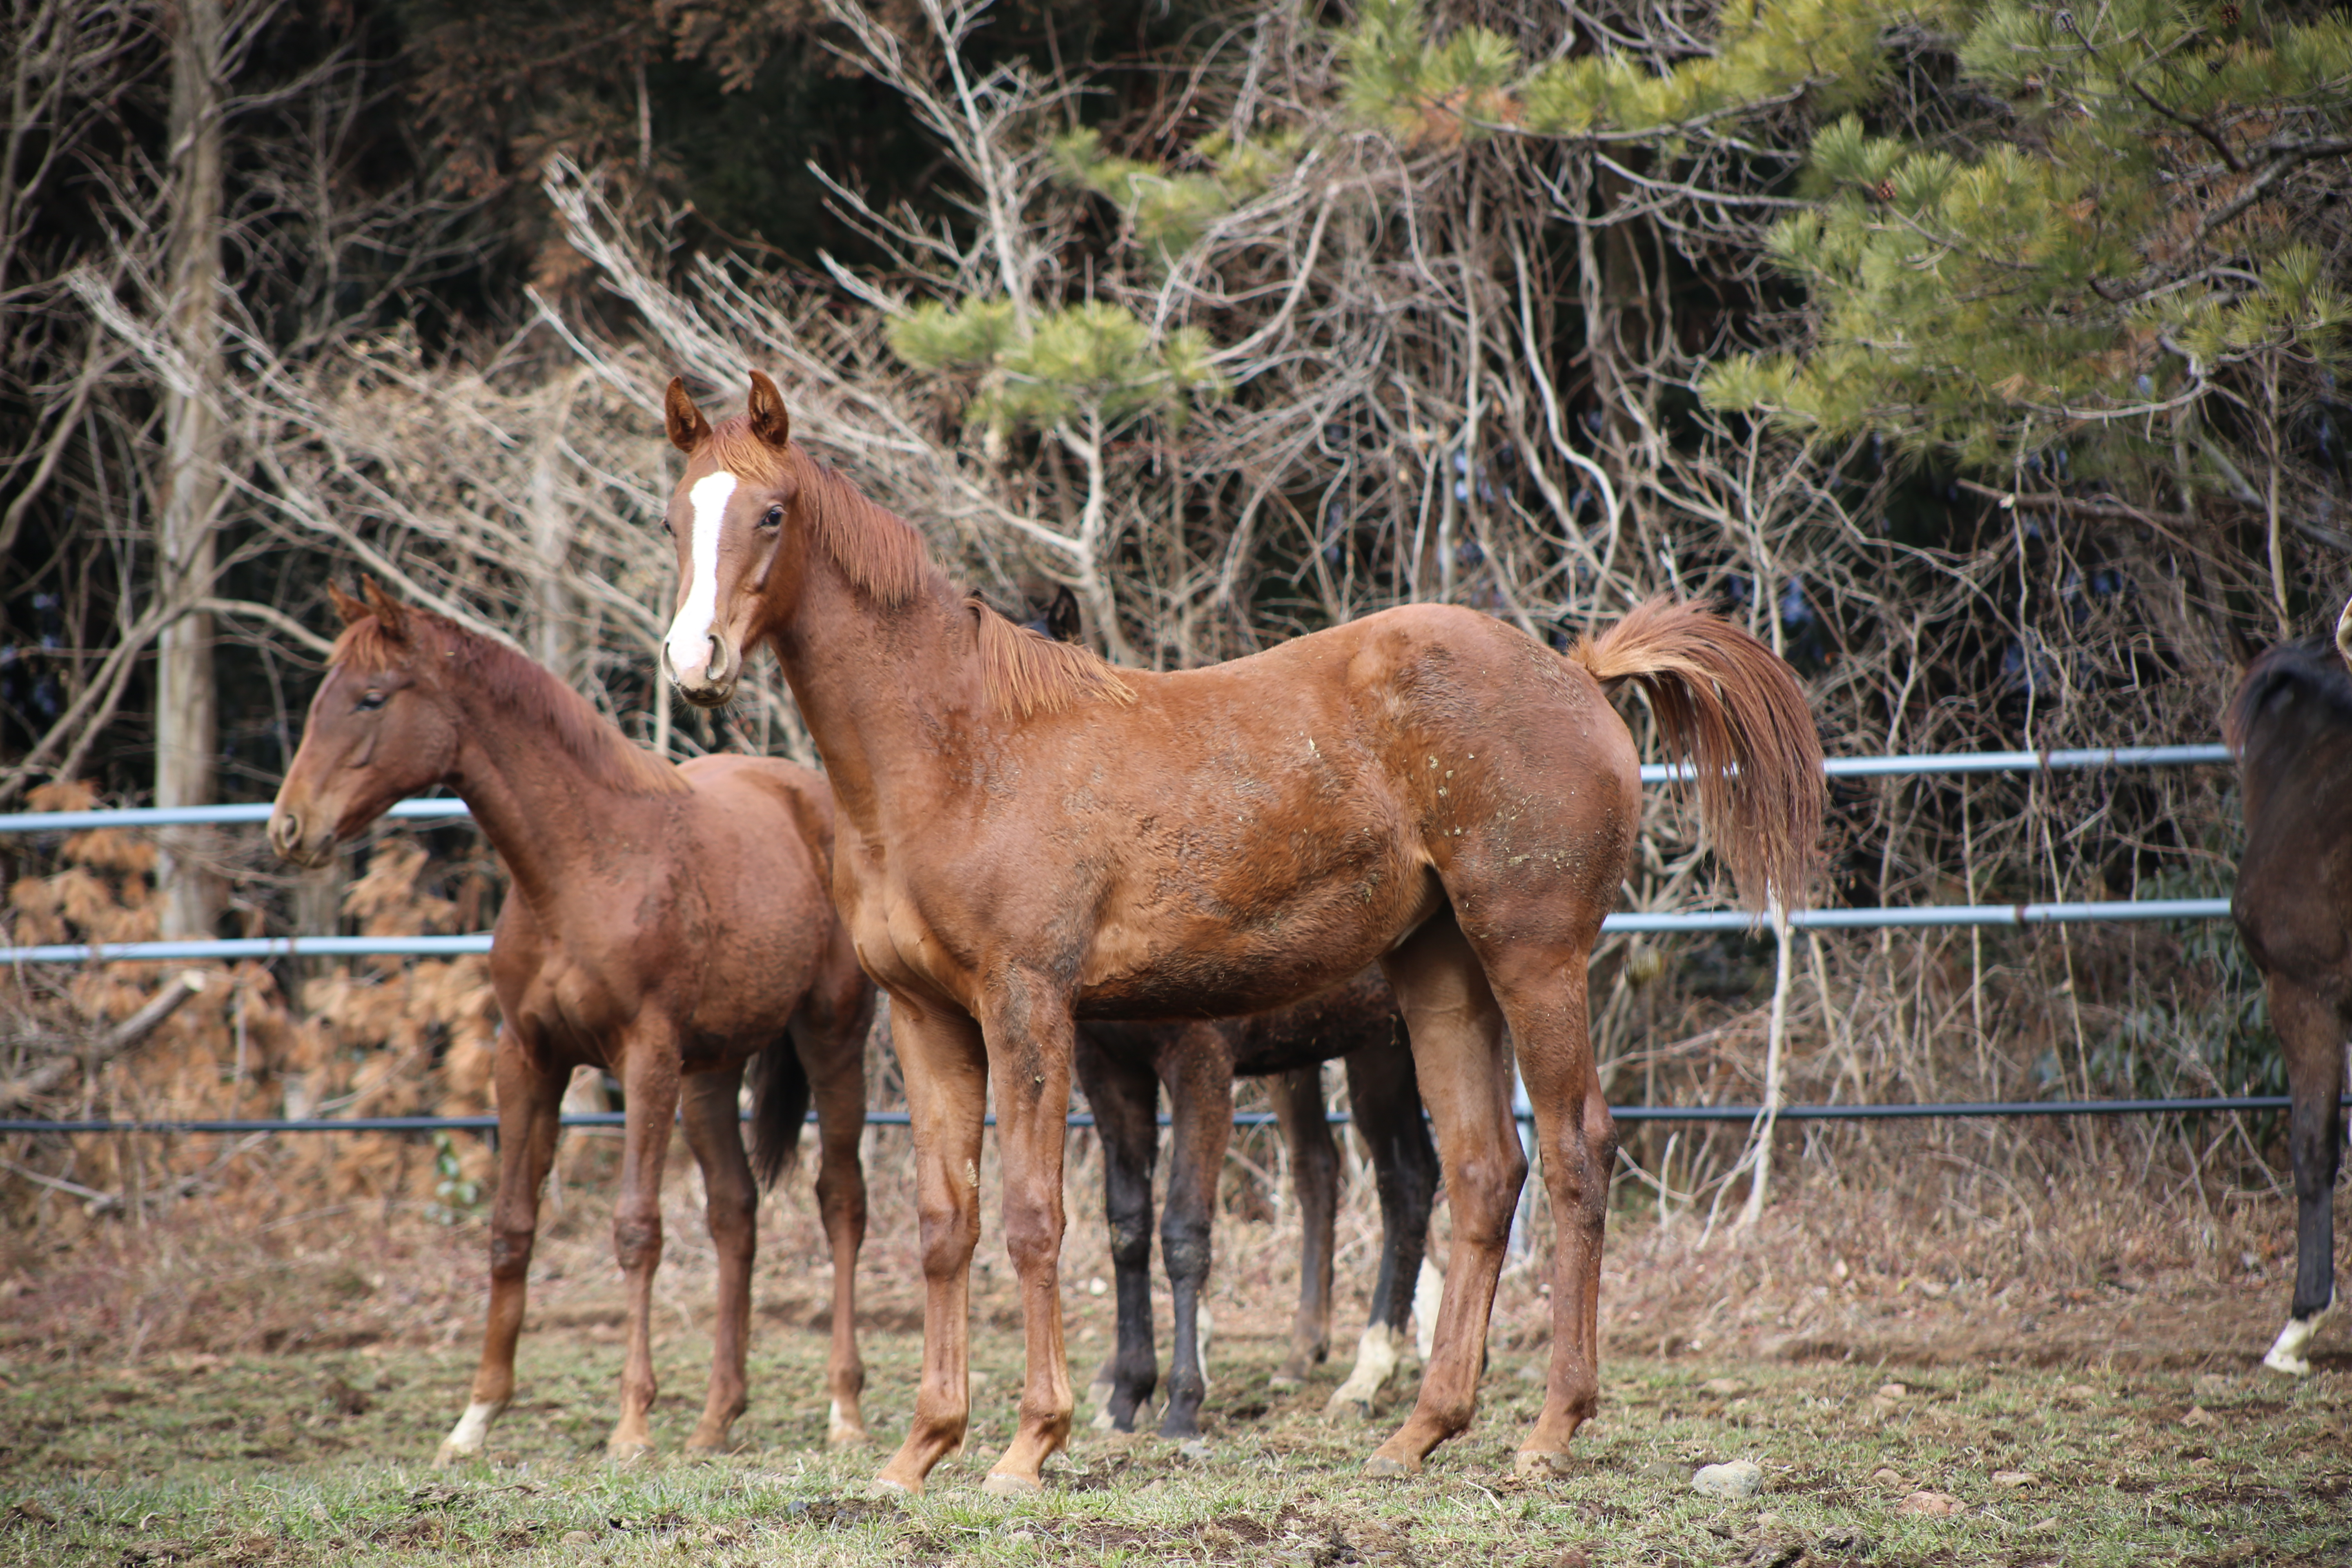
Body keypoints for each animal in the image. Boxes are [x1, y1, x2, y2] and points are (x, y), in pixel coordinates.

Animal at [267, 583, 875, 1467]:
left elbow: (636, 1230)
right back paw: (715, 1420)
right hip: (711, 1072)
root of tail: (815, 801)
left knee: (841, 1201)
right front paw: (475, 1419)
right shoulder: (526, 1058)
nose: (289, 829)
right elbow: (511, 1227)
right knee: (735, 1214)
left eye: (372, 699)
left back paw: (844, 1410)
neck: (582, 867)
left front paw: (631, 1426)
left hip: (831, 1040)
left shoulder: (644, 1059)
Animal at [1077, 973, 1439, 1439]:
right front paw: (1126, 1396)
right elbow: (1127, 1228)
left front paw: (1183, 1401)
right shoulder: (1106, 1064)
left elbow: (1183, 1228)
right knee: (1339, 1167)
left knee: (1434, 1175)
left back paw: (1372, 1373)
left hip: (1386, 1040)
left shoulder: (1201, 1056)